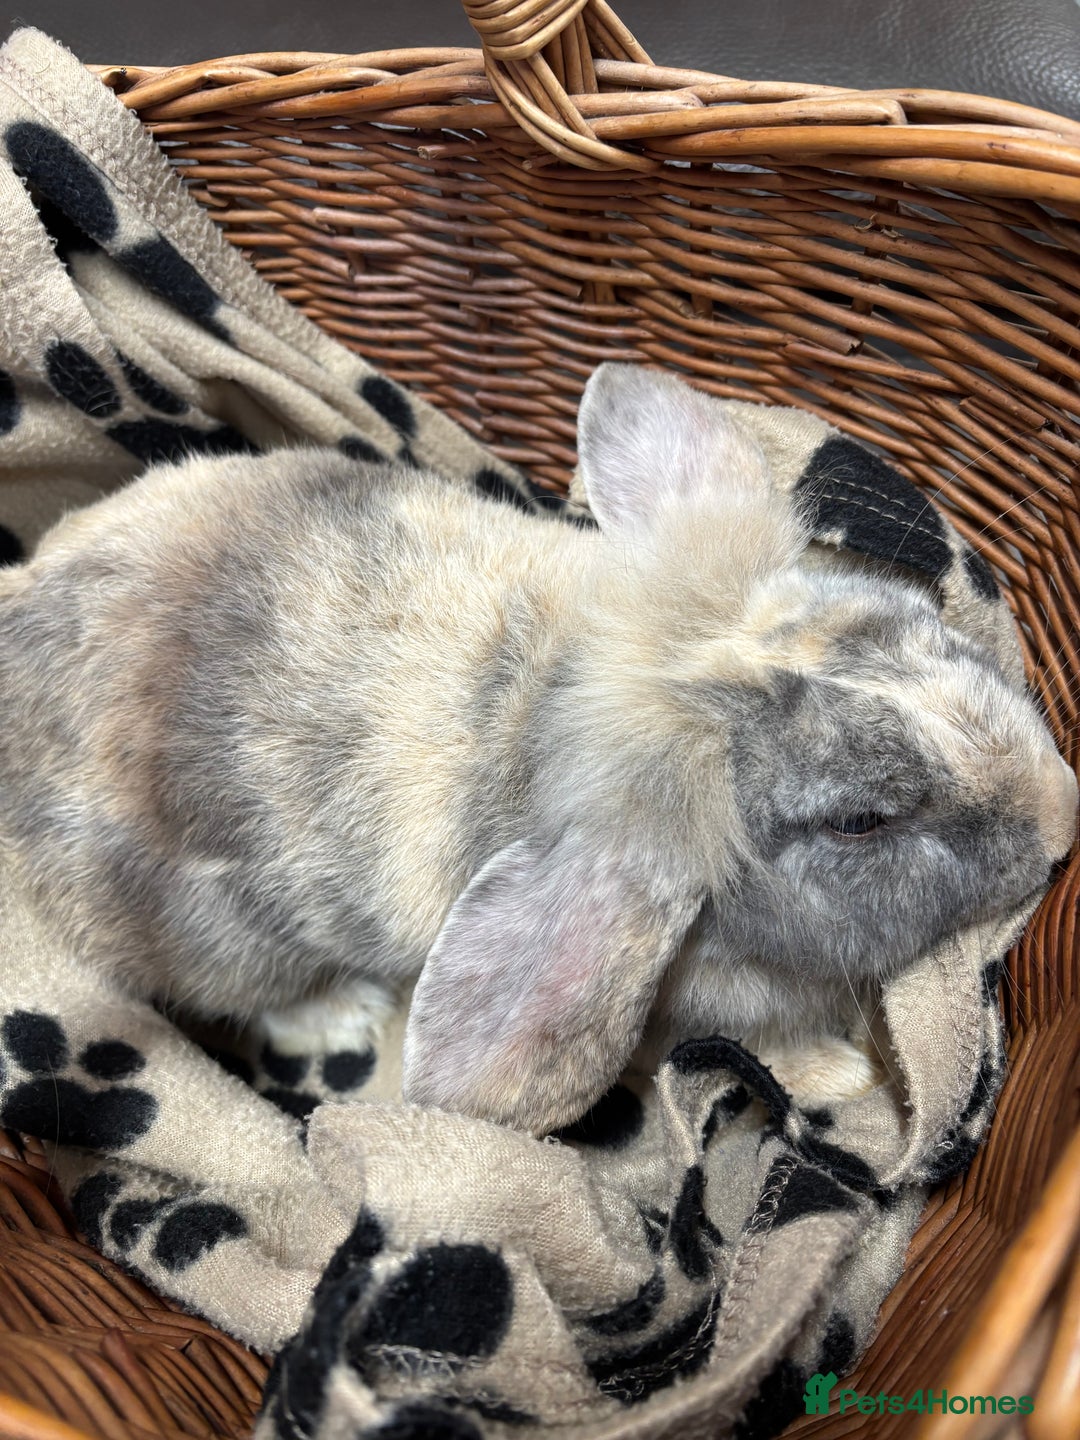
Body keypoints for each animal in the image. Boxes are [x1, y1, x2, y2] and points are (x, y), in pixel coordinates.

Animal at [0, 363, 1075, 1136]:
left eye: (912, 619)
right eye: (861, 821)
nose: (1064, 810)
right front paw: (846, 1072)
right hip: (222, 944)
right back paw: (344, 1014)